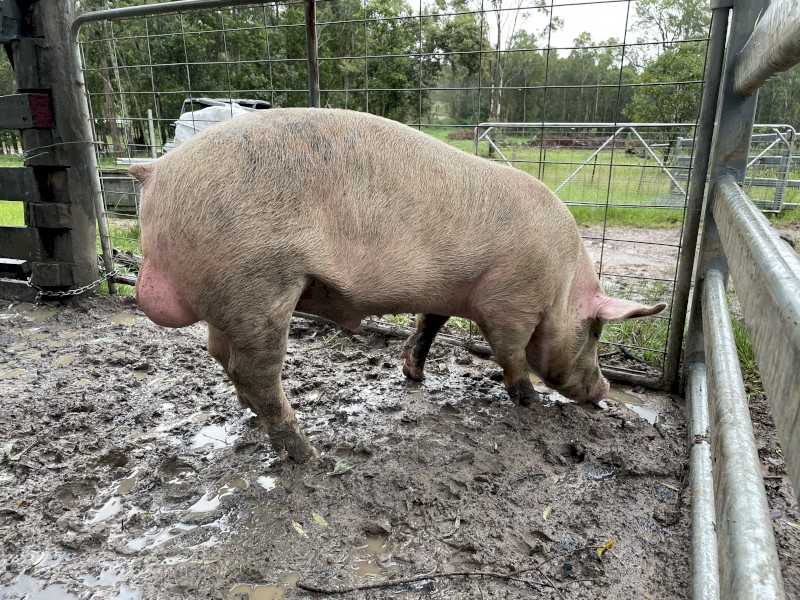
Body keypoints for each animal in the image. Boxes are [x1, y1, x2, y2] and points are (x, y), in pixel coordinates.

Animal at [130, 108, 665, 462]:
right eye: (595, 331)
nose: (604, 389)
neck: (562, 284)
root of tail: (158, 170)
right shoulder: (509, 300)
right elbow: (510, 354)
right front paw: (528, 403)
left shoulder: (450, 290)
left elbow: (429, 323)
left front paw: (414, 376)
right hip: (258, 283)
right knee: (256, 373)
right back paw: (311, 457)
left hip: (229, 296)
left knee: (221, 356)